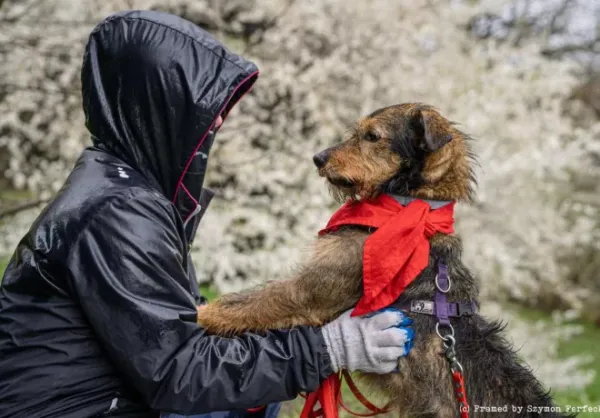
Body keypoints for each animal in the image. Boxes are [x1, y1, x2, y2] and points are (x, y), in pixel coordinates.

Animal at [197, 103, 572, 418]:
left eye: (373, 136)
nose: (318, 158)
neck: (406, 206)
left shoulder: (307, 292)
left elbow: (243, 304)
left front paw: (198, 315)